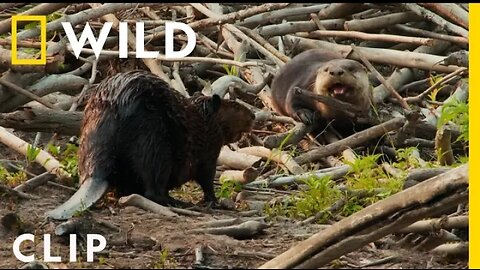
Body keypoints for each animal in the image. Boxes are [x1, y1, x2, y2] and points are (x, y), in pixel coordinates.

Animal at [47, 69, 255, 219]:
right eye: (236, 107)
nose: (253, 115)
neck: (203, 119)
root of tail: (95, 176)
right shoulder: (210, 149)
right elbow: (206, 178)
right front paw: (215, 201)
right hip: (155, 143)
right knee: (153, 191)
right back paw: (180, 202)